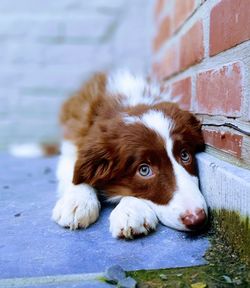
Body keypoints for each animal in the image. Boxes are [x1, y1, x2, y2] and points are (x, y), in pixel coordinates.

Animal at [51, 70, 208, 238]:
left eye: (185, 155)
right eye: (144, 170)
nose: (197, 218)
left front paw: (131, 210)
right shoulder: (72, 143)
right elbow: (74, 176)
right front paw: (76, 201)